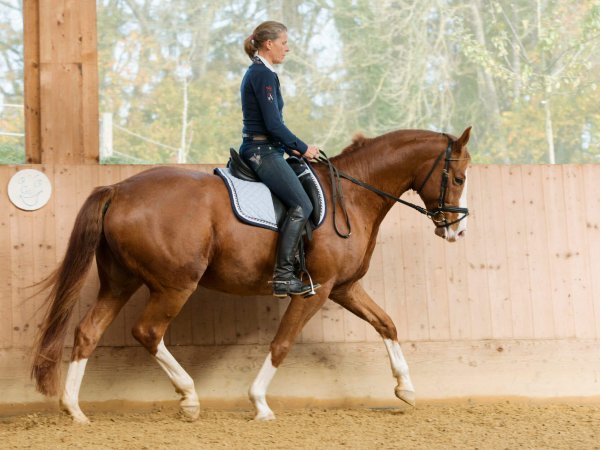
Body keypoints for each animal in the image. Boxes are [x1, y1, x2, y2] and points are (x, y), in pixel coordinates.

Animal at [31, 128, 474, 424]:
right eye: (458, 178)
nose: (457, 231)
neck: (351, 196)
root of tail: (119, 189)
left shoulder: (343, 287)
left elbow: (387, 323)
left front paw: (406, 388)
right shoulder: (315, 291)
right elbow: (282, 344)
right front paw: (259, 402)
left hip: (119, 282)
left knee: (87, 332)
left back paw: (75, 410)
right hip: (175, 285)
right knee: (148, 331)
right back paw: (188, 397)